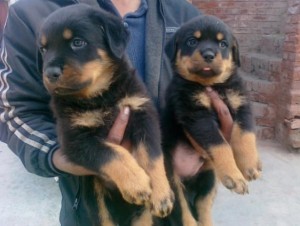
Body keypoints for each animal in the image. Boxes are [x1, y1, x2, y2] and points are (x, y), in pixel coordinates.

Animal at [37, 3, 173, 226]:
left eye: (77, 42)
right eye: (43, 49)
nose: (50, 73)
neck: (100, 96)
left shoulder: (143, 113)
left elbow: (151, 156)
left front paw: (161, 194)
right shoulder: (75, 140)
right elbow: (112, 152)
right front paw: (136, 182)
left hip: (142, 217)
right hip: (97, 203)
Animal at [163, 15, 262, 225]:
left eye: (223, 44)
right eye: (192, 41)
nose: (209, 54)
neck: (213, 86)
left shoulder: (241, 104)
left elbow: (246, 136)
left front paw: (250, 165)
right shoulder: (196, 114)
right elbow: (220, 144)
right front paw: (235, 176)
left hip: (208, 178)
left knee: (203, 206)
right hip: (171, 180)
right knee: (183, 211)